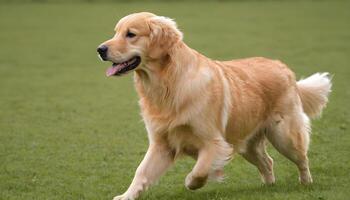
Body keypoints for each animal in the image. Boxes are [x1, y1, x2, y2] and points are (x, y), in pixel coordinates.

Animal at [98, 12, 330, 200]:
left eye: (131, 34)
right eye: (116, 32)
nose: (100, 49)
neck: (168, 83)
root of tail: (284, 67)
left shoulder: (214, 143)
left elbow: (199, 171)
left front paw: (192, 182)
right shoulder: (161, 144)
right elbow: (141, 172)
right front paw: (126, 195)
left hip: (284, 136)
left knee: (302, 159)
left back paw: (305, 184)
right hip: (247, 144)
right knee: (268, 162)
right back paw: (268, 186)